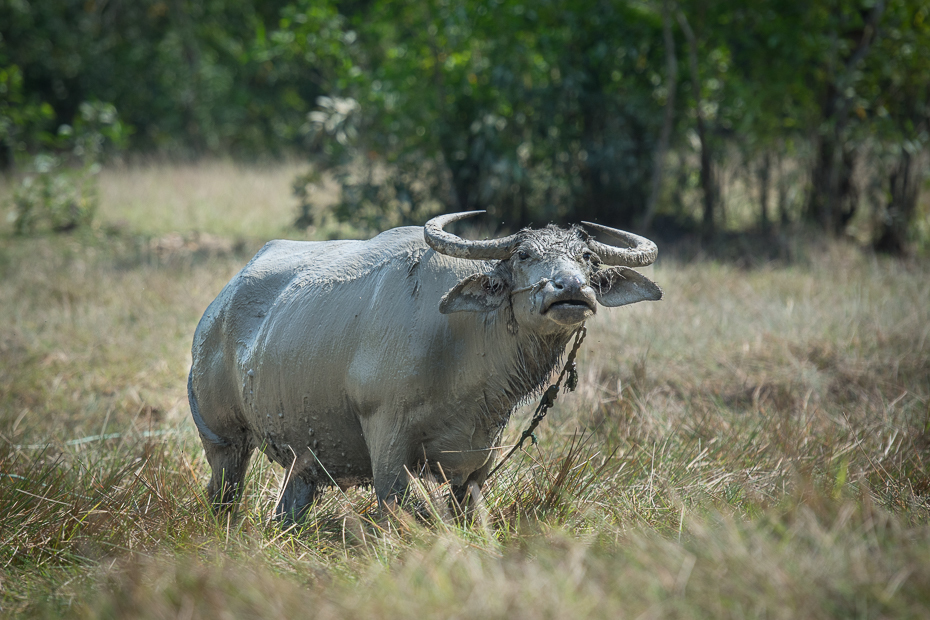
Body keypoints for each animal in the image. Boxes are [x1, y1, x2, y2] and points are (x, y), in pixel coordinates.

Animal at [188, 211, 660, 520]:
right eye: (524, 255)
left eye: (587, 258)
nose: (571, 289)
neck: (460, 343)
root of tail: (215, 311)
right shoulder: (387, 436)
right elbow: (407, 508)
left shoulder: (479, 454)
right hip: (223, 440)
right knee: (223, 491)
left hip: (304, 458)